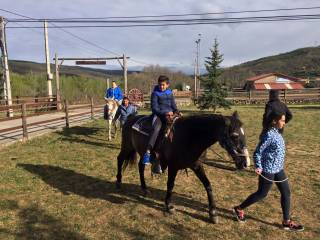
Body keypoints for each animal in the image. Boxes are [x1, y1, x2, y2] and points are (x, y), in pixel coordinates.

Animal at [116, 110, 249, 223]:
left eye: (244, 134)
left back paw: (144, 188)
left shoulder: (197, 165)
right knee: (120, 159)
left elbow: (208, 185)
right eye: (235, 135)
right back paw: (119, 182)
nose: (246, 163)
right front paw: (169, 206)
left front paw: (213, 213)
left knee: (140, 166)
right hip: (127, 147)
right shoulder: (173, 166)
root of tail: (130, 118)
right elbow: (170, 185)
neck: (189, 136)